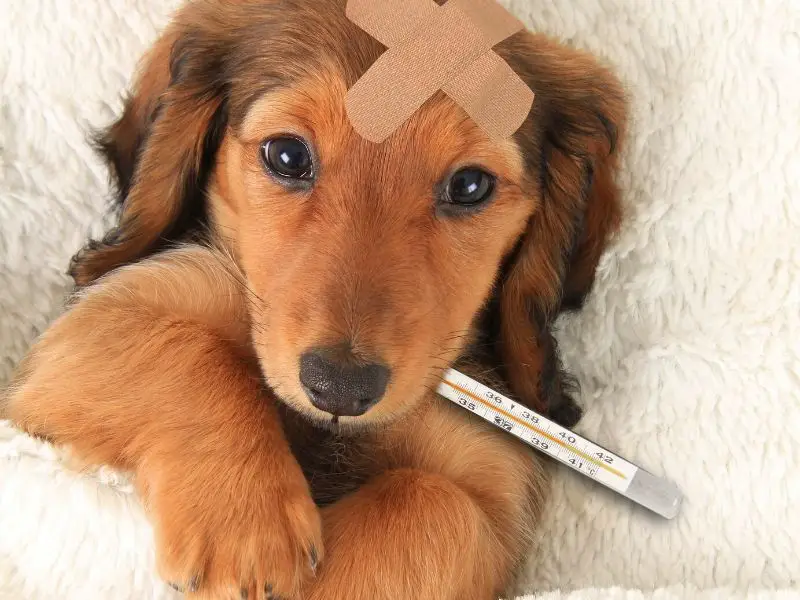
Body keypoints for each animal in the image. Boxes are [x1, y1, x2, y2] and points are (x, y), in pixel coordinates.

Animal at [0, 1, 624, 600]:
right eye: (287, 155)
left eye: (470, 186)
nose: (340, 388)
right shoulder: (93, 328)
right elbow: (184, 347)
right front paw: (246, 524)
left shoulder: (492, 479)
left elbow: (433, 502)